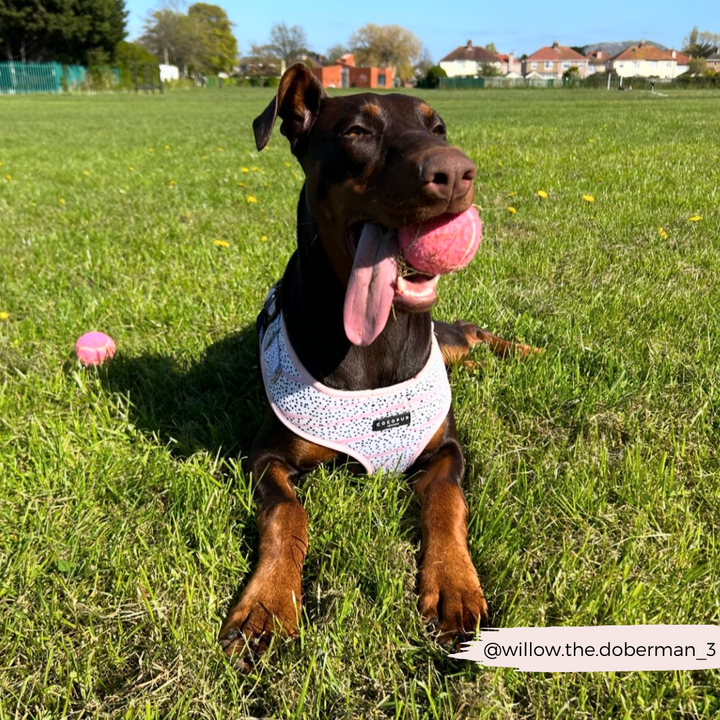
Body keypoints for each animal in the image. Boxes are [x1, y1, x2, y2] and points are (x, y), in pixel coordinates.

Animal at [219, 64, 536, 668]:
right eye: (357, 131)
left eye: (438, 126)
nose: (454, 172)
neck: (374, 342)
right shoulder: (264, 456)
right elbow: (287, 514)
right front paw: (267, 603)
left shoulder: (445, 449)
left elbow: (447, 502)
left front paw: (454, 586)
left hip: (447, 340)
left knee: (470, 332)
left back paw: (527, 351)